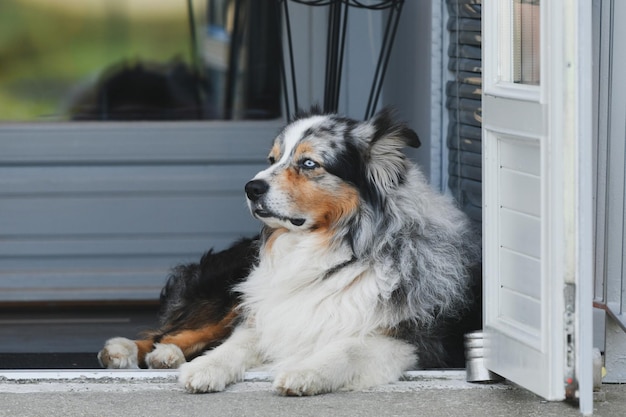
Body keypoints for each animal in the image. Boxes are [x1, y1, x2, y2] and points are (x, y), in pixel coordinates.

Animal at [97, 107, 480, 394]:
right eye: (272, 158)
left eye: (309, 163)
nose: (250, 188)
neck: (327, 250)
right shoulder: (269, 310)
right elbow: (237, 343)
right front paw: (206, 368)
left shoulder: (410, 341)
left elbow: (347, 347)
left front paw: (305, 372)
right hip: (235, 288)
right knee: (174, 331)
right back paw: (131, 351)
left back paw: (164, 355)